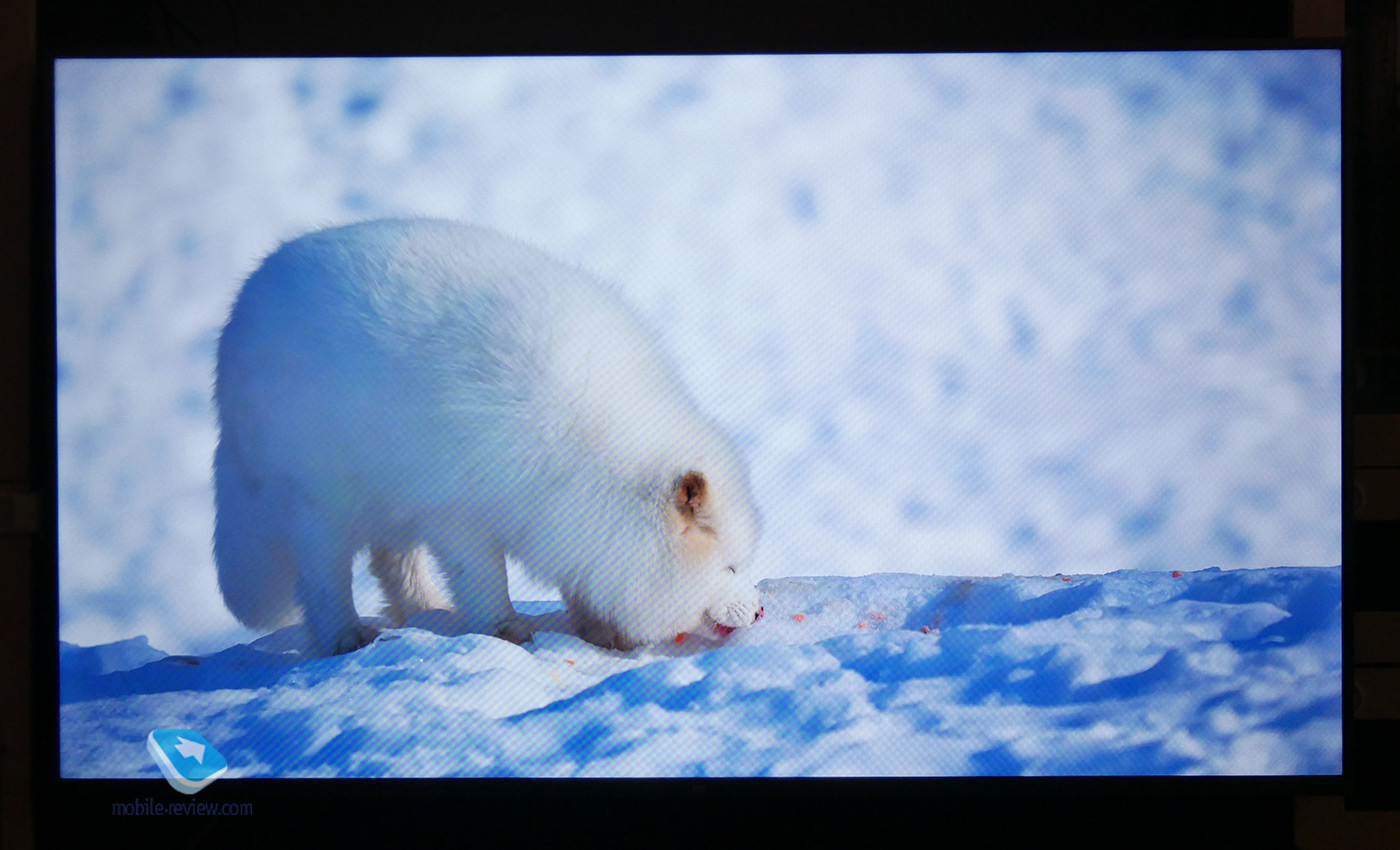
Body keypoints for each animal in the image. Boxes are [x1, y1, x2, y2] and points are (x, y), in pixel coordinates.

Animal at [214, 219, 767, 658]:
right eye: (731, 567)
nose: (761, 612)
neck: (584, 444)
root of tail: (245, 302)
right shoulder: (459, 515)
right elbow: (483, 580)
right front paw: (503, 630)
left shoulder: (568, 519)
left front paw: (599, 629)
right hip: (320, 503)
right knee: (323, 578)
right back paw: (344, 637)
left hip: (389, 497)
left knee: (390, 561)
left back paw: (427, 611)